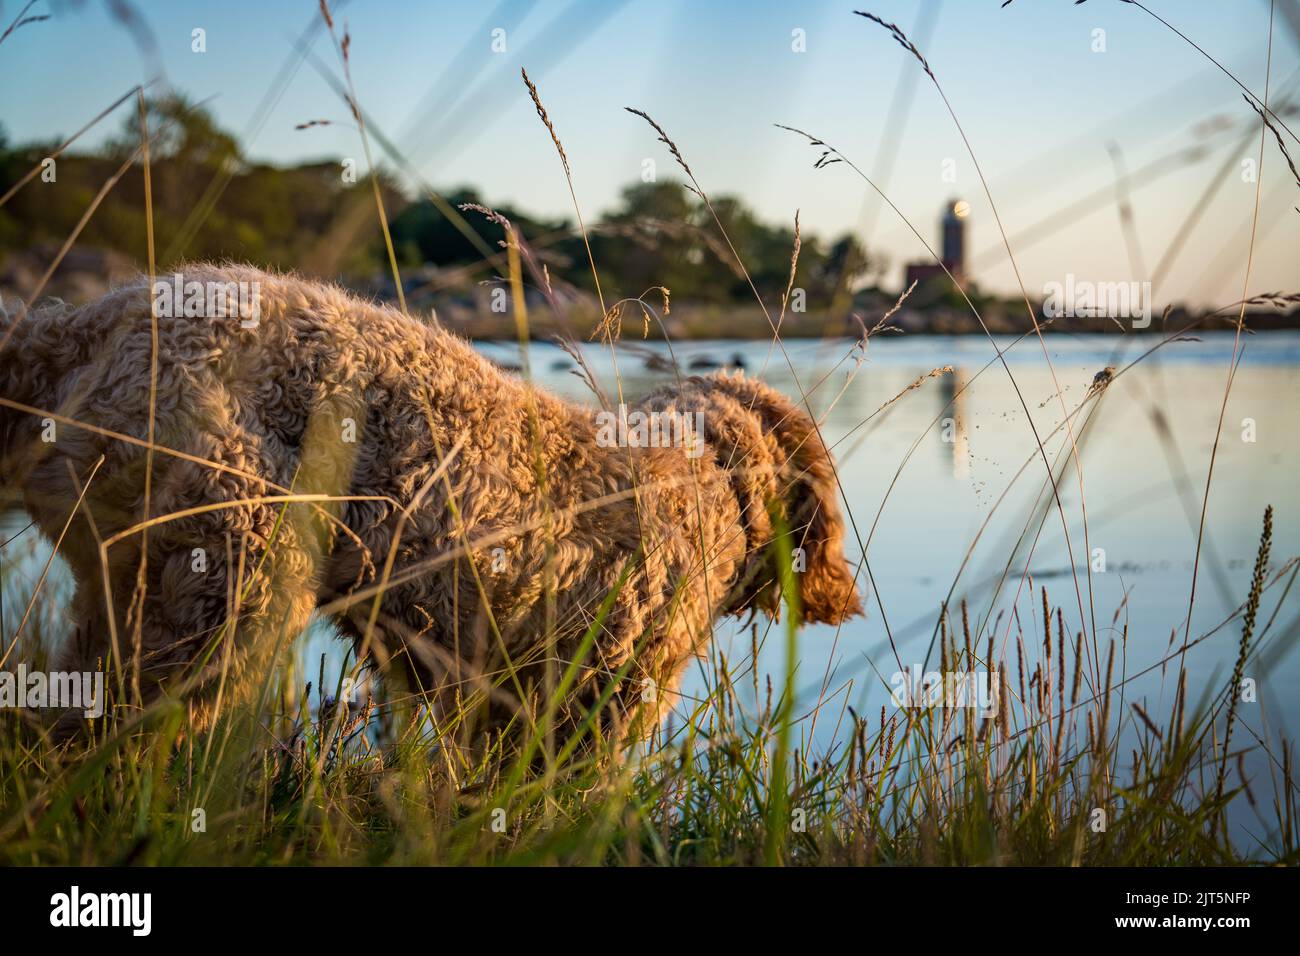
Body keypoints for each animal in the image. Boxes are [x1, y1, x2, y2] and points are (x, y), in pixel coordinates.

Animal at [2, 264, 863, 749]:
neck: (706, 471)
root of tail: (76, 326)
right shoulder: (603, 697)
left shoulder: (503, 701)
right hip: (223, 589)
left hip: (133, 598)